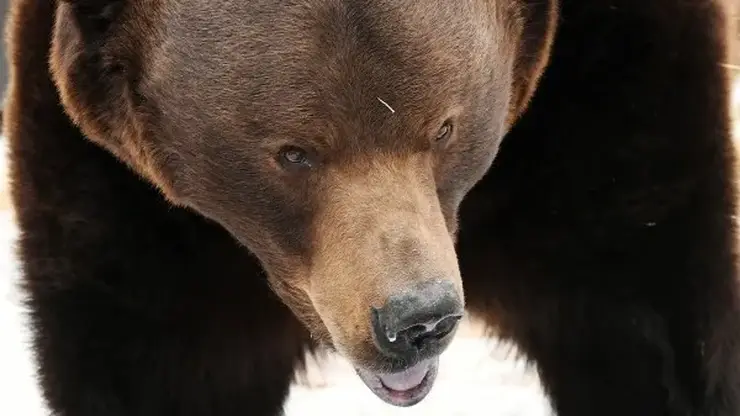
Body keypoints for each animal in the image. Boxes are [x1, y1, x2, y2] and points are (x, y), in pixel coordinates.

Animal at [4, 0, 740, 414]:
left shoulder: (606, 100)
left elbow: (650, 318)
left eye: (444, 127)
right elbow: (158, 359)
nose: (417, 319)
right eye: (294, 152)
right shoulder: (131, 207)